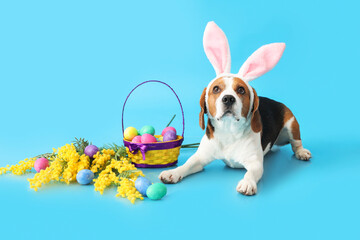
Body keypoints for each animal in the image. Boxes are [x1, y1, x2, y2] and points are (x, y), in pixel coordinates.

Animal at [159, 21, 310, 196]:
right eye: (216, 89)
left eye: (241, 90)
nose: (228, 98)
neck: (228, 131)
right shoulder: (200, 158)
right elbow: (188, 164)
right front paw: (173, 172)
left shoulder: (255, 163)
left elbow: (250, 173)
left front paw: (247, 183)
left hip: (292, 124)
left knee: (296, 143)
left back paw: (301, 152)